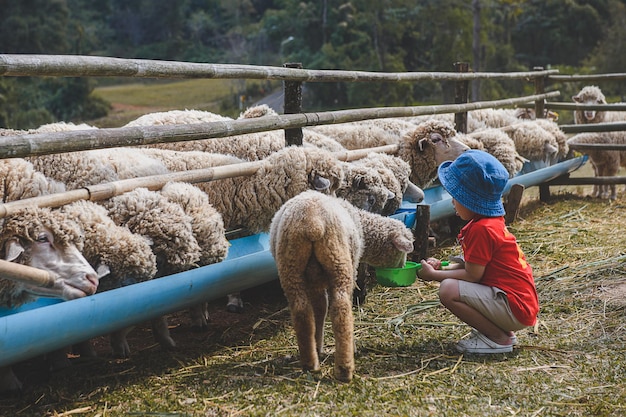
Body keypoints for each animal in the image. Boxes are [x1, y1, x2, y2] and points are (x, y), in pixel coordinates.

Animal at [268, 190, 414, 382]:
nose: (403, 266)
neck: (361, 225)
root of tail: (312, 222)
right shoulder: (352, 267)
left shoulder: (315, 283)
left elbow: (320, 310)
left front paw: (318, 345)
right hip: (339, 263)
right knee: (341, 311)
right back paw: (345, 367)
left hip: (290, 266)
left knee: (302, 311)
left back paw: (310, 363)